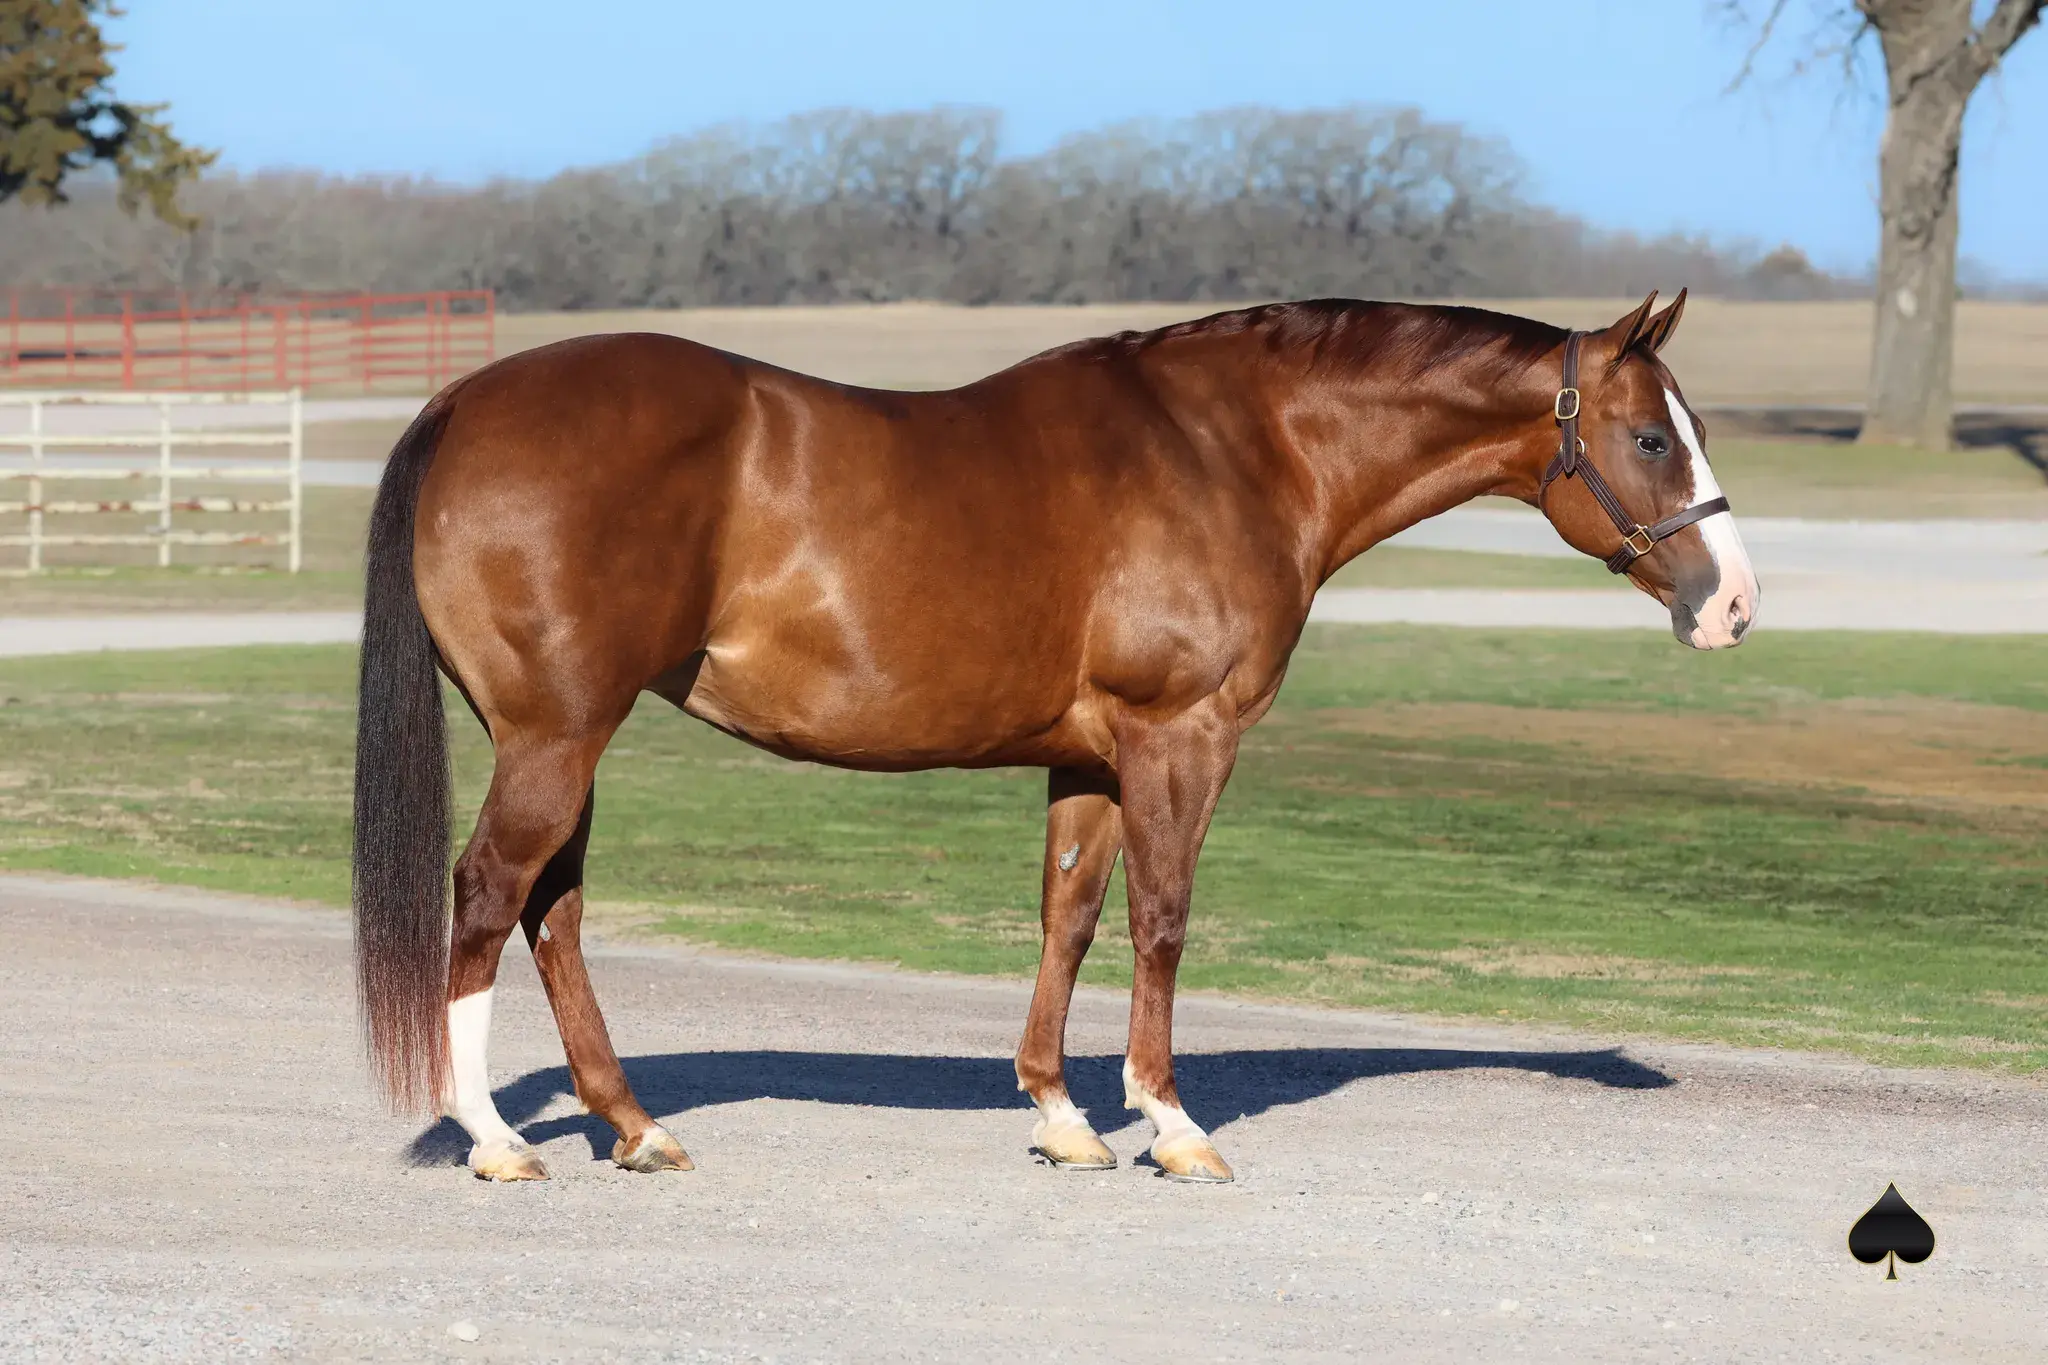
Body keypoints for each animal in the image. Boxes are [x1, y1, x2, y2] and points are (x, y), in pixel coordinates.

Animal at [352, 290, 1758, 1183]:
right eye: (1648, 435)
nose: (1733, 604)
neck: (1238, 450)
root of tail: (464, 403)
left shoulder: (1086, 756)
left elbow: (1068, 917)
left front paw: (1061, 1116)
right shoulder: (1179, 738)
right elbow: (1162, 920)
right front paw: (1170, 1125)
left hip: (564, 738)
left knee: (553, 913)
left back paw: (633, 1126)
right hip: (555, 735)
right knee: (490, 894)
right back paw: (496, 1140)